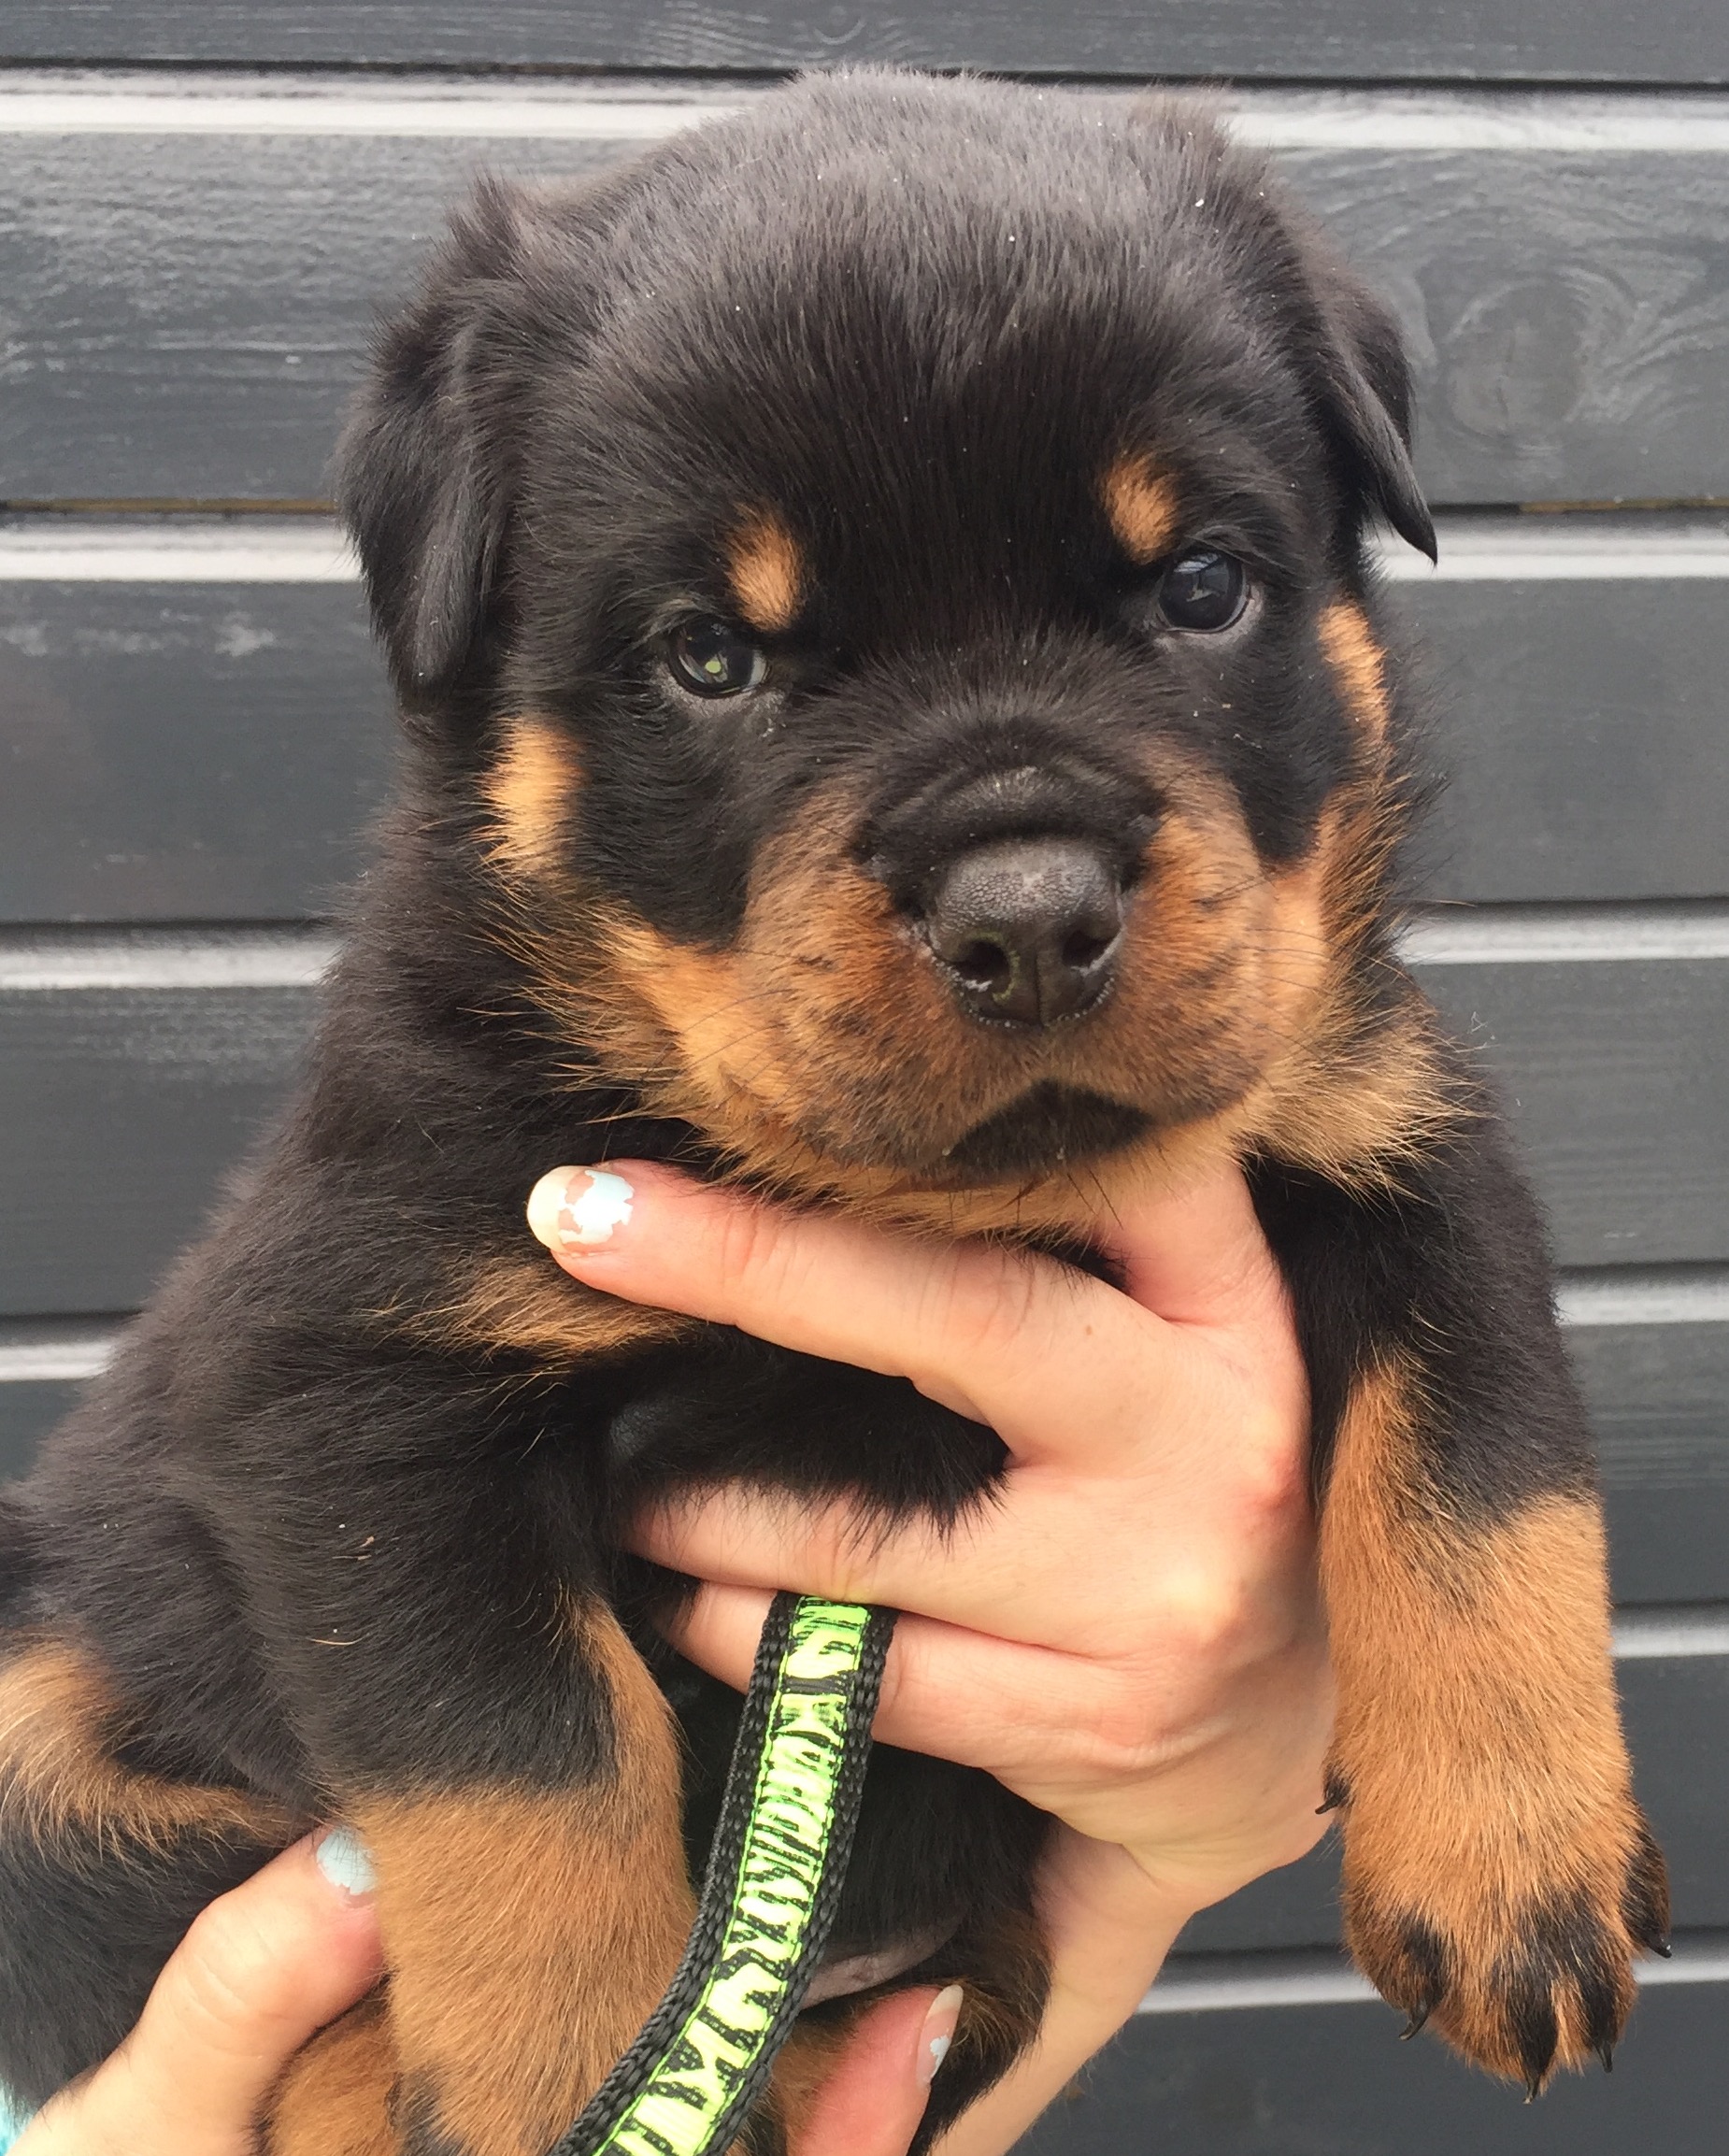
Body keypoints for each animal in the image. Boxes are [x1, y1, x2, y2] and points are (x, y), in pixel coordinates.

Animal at [0, 69, 1666, 2153]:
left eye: (1202, 587)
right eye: (711, 655)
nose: (1028, 913)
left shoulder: (1393, 1127)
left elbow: (1483, 1465)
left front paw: (1514, 1861)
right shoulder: (349, 1370)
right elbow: (522, 1751)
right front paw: (571, 2078)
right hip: (51, 1751)